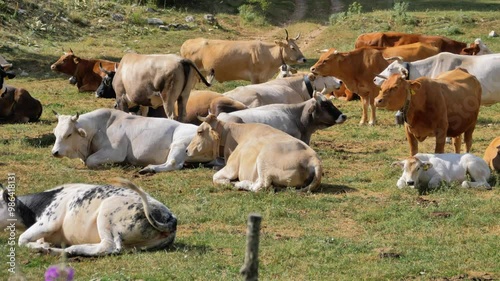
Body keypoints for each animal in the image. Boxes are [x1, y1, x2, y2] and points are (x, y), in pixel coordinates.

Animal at [0, 177, 178, 256]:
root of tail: (171, 219)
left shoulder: (48, 221)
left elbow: (21, 239)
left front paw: (42, 247)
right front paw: (43, 245)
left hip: (106, 214)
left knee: (108, 246)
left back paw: (68, 250)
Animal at [186, 112, 322, 191]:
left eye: (199, 131)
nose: (186, 150)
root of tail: (313, 158)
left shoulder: (231, 167)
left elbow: (215, 177)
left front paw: (227, 182)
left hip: (263, 159)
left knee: (262, 185)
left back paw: (241, 184)